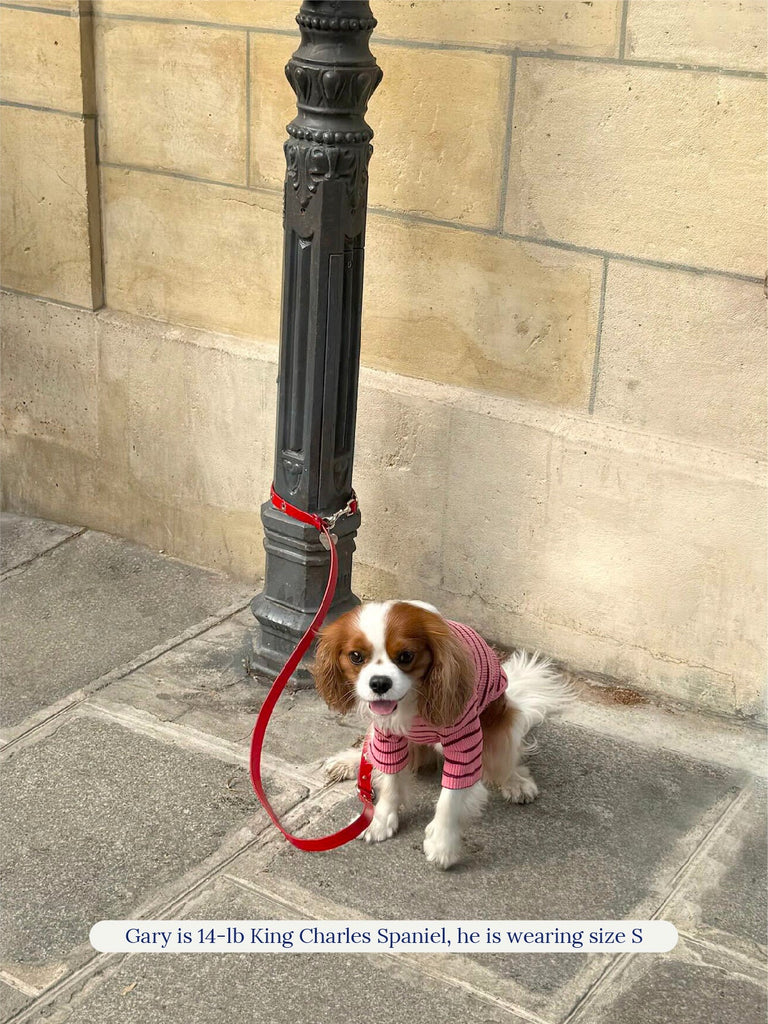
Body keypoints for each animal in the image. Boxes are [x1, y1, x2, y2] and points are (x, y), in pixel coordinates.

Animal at [311, 598, 573, 872]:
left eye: (406, 656)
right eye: (356, 656)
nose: (380, 683)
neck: (411, 701)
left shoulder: (465, 743)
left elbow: (451, 798)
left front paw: (442, 843)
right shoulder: (387, 734)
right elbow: (391, 779)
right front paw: (380, 819)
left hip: (504, 721)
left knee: (504, 761)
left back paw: (515, 782)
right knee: (371, 755)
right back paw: (350, 762)